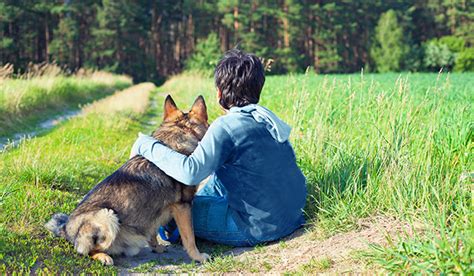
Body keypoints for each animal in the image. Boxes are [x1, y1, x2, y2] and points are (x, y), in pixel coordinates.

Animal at [45, 95, 209, 266]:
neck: (177, 134)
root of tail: (65, 229)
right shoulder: (183, 207)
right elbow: (190, 238)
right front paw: (198, 257)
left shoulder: (156, 212)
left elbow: (153, 232)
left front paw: (156, 247)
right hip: (108, 215)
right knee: (88, 251)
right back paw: (103, 257)